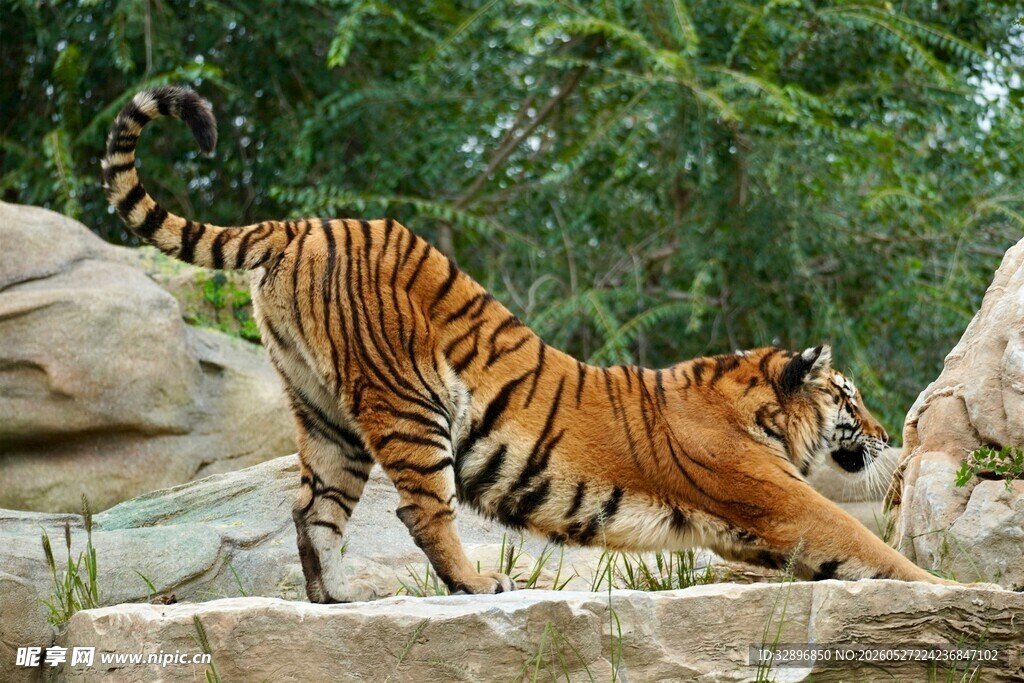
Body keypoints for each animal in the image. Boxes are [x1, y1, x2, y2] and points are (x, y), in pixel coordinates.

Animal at [102, 86, 957, 602]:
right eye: (848, 397)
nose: (887, 433)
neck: (754, 407)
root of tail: (301, 223)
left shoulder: (748, 529)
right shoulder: (783, 502)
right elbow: (870, 544)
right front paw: (953, 590)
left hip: (325, 414)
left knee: (314, 508)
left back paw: (336, 597)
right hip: (408, 402)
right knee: (421, 511)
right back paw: (477, 585)